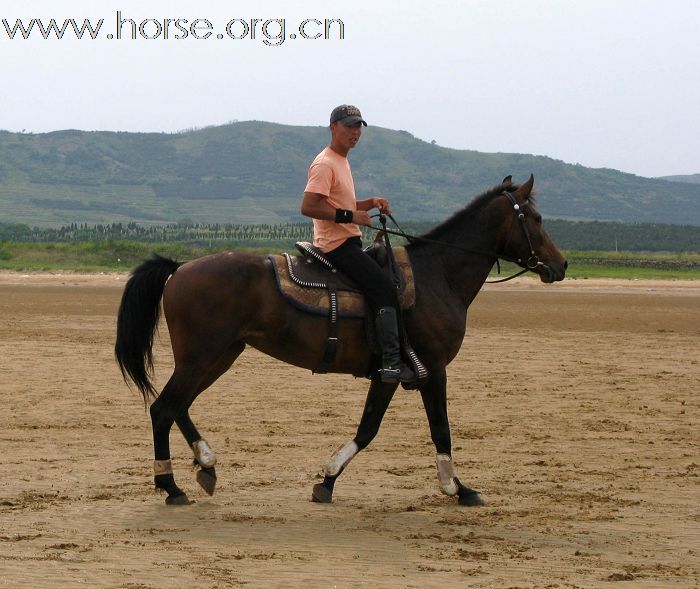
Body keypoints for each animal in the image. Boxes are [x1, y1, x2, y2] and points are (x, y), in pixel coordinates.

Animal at [113, 175, 564, 506]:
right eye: (537, 218)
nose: (559, 265)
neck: (438, 275)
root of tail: (180, 268)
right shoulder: (433, 369)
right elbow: (441, 428)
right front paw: (457, 488)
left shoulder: (389, 374)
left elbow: (368, 428)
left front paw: (327, 480)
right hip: (201, 357)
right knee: (163, 408)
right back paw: (171, 487)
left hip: (220, 356)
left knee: (179, 406)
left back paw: (206, 464)